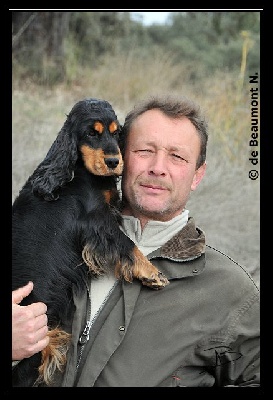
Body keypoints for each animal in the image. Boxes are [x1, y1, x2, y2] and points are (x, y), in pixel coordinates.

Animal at [12, 97, 170, 388]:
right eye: (91, 133)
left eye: (116, 132)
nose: (113, 161)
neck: (78, 172)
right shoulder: (95, 221)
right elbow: (126, 243)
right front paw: (151, 273)